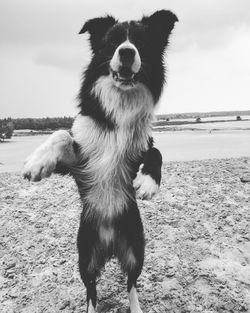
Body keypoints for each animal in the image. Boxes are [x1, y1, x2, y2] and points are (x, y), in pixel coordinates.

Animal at [22, 9, 178, 312]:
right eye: (113, 41)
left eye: (140, 42)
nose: (127, 52)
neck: (121, 102)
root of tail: (109, 246)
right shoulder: (79, 161)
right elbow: (61, 134)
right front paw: (38, 160)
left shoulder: (141, 147)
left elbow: (156, 152)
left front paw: (148, 182)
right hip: (85, 254)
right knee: (91, 289)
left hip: (136, 248)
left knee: (131, 282)